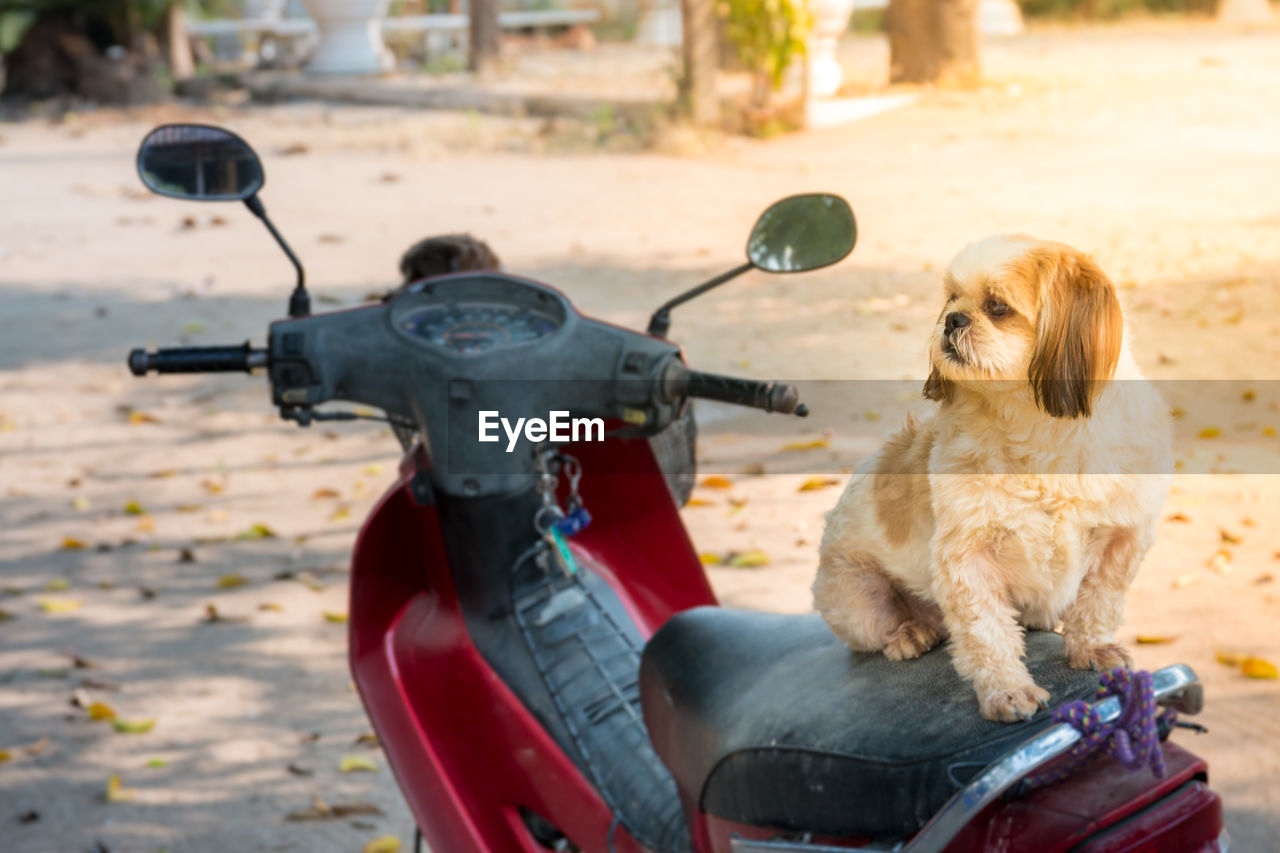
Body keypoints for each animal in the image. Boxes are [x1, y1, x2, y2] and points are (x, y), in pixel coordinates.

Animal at [819, 235, 1172, 722]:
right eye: (951, 298)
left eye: (998, 306)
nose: (952, 320)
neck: (1039, 428)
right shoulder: (967, 558)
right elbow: (986, 633)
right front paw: (1007, 690)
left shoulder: (1124, 537)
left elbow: (1098, 600)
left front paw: (1092, 648)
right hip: (856, 597)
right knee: (878, 627)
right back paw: (909, 631)